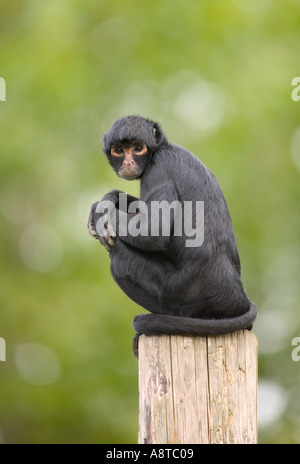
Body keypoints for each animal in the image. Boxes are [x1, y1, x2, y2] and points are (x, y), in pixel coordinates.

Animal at [88, 115, 256, 356]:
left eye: (138, 148)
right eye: (119, 151)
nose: (128, 162)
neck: (162, 149)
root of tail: (236, 297)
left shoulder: (159, 168)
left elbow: (153, 230)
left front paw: (102, 210)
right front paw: (111, 198)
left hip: (179, 292)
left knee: (118, 254)